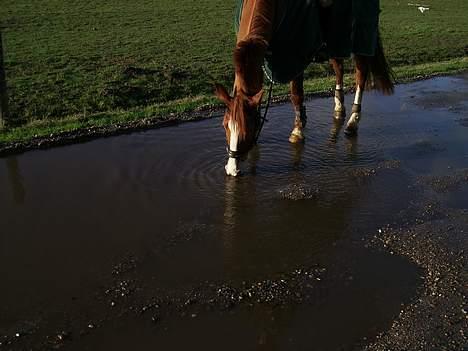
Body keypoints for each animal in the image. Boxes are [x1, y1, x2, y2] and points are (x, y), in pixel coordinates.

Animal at [217, 0, 394, 176]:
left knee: (361, 76)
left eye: (247, 128)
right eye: (225, 125)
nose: (232, 169)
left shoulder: (295, 57)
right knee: (339, 68)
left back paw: (352, 121)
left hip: (360, 39)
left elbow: (296, 94)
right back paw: (338, 106)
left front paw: (297, 131)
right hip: (336, 41)